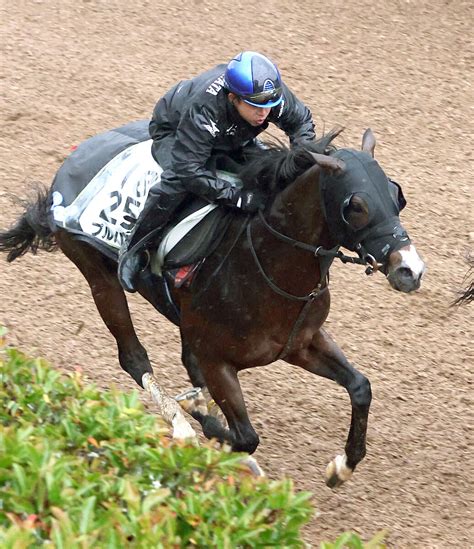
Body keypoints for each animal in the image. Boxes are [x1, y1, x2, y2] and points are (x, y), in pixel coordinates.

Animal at [0, 122, 426, 486]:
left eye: (396, 196)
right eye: (357, 206)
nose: (410, 269)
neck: (267, 264)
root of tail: (74, 159)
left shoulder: (300, 343)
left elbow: (360, 386)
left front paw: (341, 466)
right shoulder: (218, 360)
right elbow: (245, 436)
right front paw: (197, 419)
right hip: (99, 277)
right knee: (133, 357)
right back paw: (182, 424)